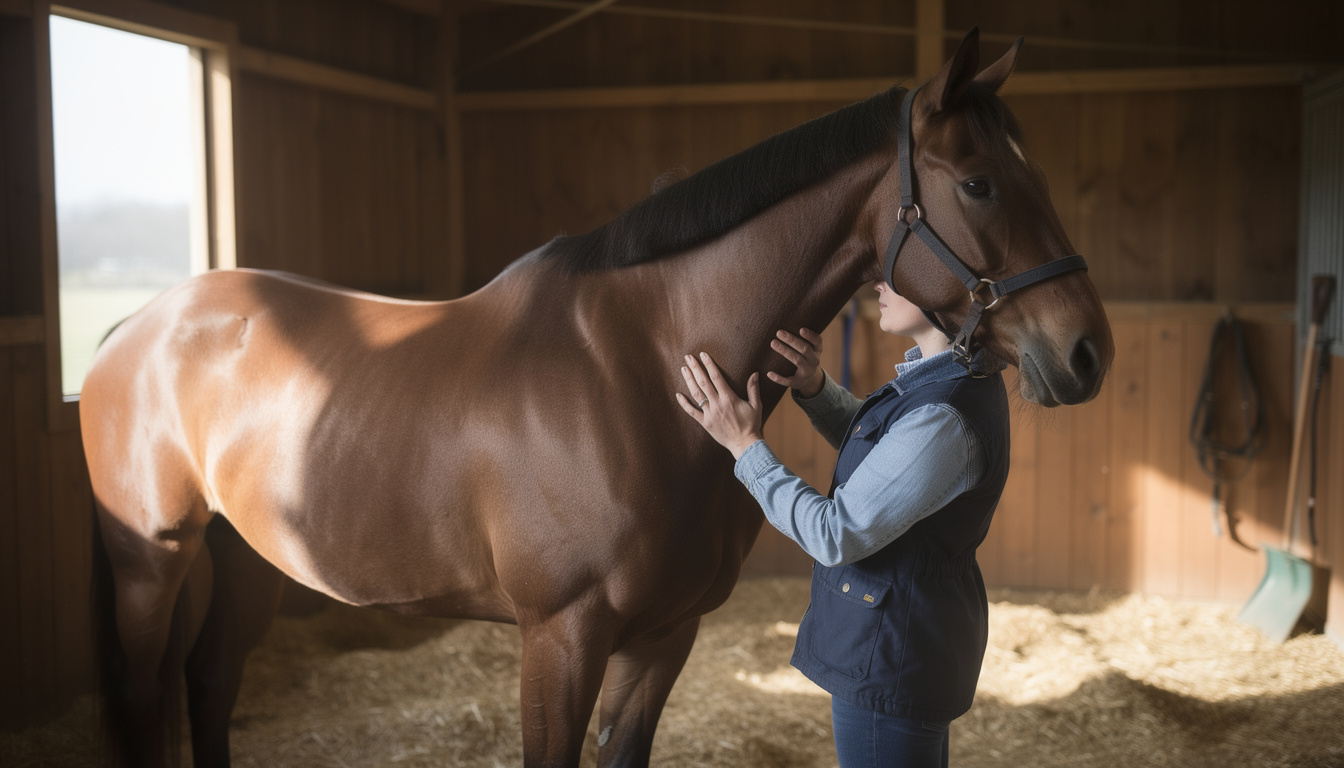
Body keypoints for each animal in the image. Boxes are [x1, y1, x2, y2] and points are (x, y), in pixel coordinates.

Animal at [83, 28, 1112, 768]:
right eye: (978, 183)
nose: (1088, 351)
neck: (637, 371)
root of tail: (132, 330)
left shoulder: (660, 640)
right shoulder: (560, 639)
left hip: (247, 557)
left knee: (208, 684)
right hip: (152, 561)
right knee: (143, 698)